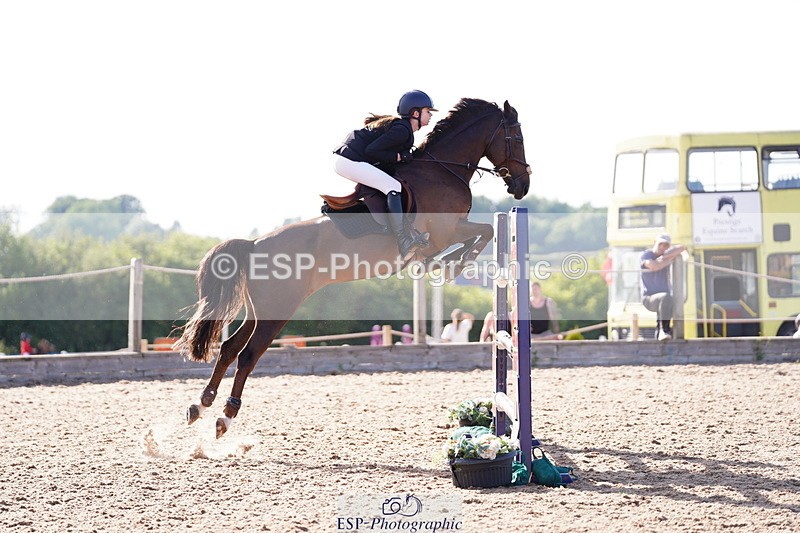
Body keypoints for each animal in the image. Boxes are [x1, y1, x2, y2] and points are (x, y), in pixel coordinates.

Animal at [176, 98, 532, 438]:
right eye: (516, 138)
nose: (522, 187)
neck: (442, 169)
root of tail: (254, 245)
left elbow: (483, 232)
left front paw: (447, 263)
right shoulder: (447, 231)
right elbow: (483, 232)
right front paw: (449, 264)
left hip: (259, 309)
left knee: (229, 348)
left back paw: (200, 405)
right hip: (278, 311)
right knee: (248, 355)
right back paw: (225, 415)